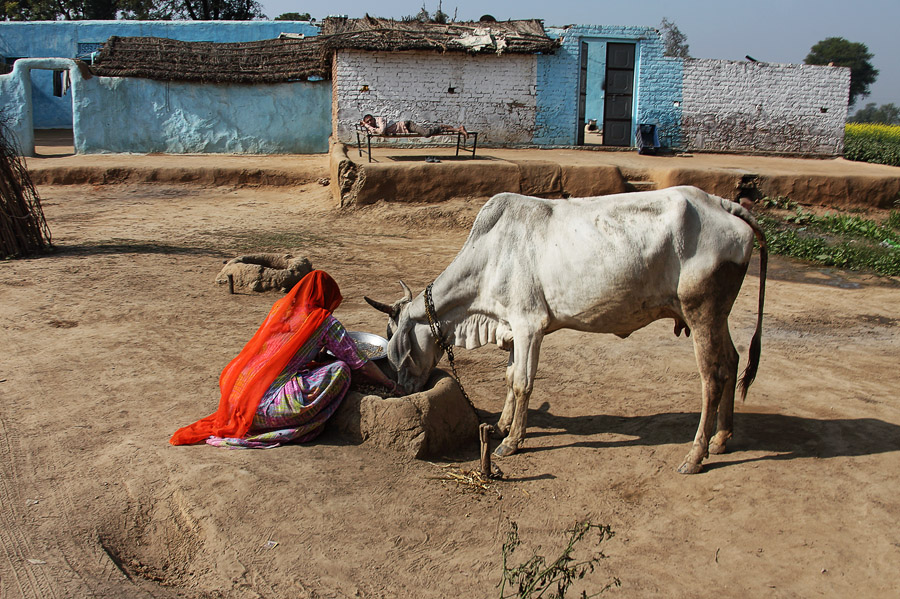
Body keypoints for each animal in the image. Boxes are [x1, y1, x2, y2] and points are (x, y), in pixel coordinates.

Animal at [366, 185, 768, 476]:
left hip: (701, 311)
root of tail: (722, 204)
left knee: (713, 376)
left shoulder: (530, 325)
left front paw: (512, 441)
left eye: (395, 341)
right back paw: (721, 439)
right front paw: (501, 425)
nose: (403, 389)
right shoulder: (513, 326)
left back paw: (696, 455)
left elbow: (523, 382)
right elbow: (510, 376)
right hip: (718, 314)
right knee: (733, 361)